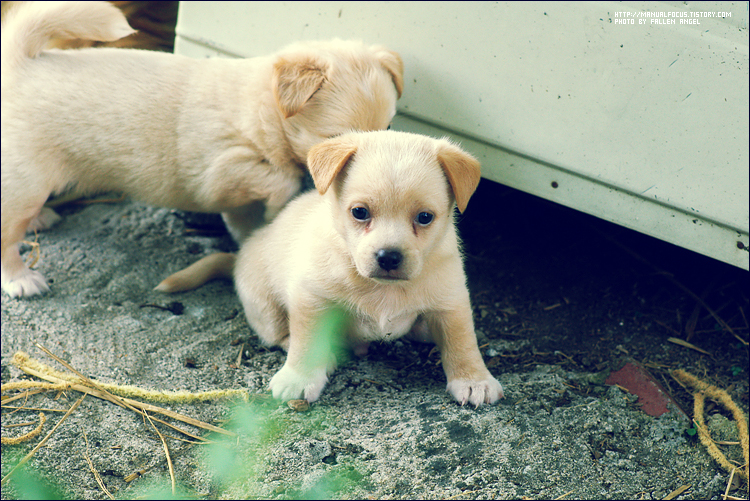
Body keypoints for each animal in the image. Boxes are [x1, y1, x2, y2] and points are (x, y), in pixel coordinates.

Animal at [1, 0, 406, 296]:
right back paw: (21, 280)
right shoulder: (221, 171)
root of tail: (21, 65)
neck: (263, 110)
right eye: (336, 137)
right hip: (26, 180)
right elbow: (280, 181)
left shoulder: (236, 198)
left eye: (388, 128)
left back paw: (38, 219)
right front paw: (280, 203)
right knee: (7, 234)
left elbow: (250, 225)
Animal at [162, 131, 508, 408]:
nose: (388, 257)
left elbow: (462, 342)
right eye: (360, 212)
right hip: (265, 305)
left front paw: (473, 380)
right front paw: (299, 377)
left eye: (425, 217)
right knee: (280, 334)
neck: (382, 288)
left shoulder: (451, 301)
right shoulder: (311, 300)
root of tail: (241, 254)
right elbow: (304, 342)